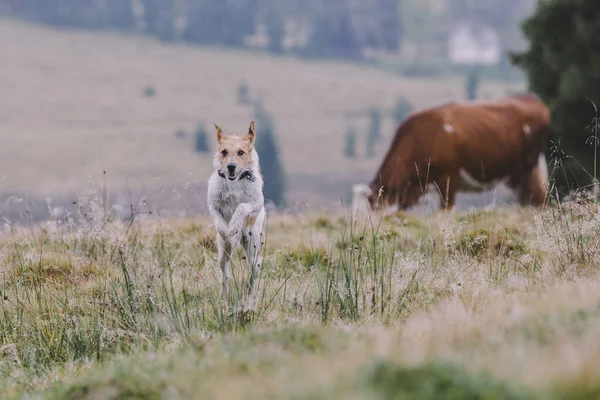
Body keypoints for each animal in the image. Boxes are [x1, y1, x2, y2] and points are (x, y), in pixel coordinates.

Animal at [206, 120, 264, 298]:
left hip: (253, 248)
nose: (231, 167)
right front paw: (228, 231)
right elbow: (220, 222)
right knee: (225, 273)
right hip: (223, 253)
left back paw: (250, 293)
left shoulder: (256, 202)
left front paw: (234, 224)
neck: (235, 181)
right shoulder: (214, 205)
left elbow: (242, 206)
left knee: (253, 273)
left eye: (241, 152)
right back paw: (224, 294)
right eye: (224, 152)